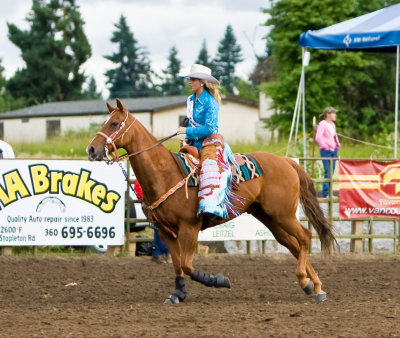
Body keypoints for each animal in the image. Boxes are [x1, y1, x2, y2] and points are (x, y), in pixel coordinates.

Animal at [88, 97, 338, 304]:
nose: (91, 149)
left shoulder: (189, 227)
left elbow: (187, 265)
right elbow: (178, 266)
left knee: (305, 237)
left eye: (114, 124)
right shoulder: (166, 231)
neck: (166, 173)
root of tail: (287, 161)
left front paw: (219, 280)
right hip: (271, 218)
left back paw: (306, 282)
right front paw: (178, 293)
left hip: (283, 214)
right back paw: (316, 288)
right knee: (294, 245)